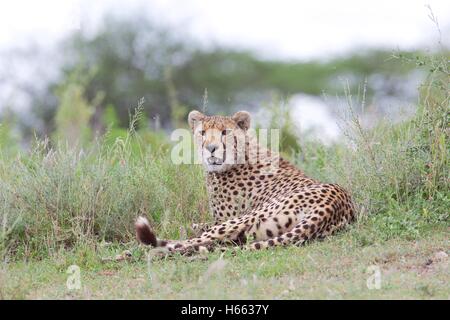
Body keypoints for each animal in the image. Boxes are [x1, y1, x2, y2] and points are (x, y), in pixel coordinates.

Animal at [134, 110, 356, 255]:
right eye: (203, 133)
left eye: (225, 132)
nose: (211, 148)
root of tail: (333, 203)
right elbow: (192, 224)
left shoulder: (220, 220)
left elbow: (192, 227)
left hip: (243, 219)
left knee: (187, 243)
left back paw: (137, 251)